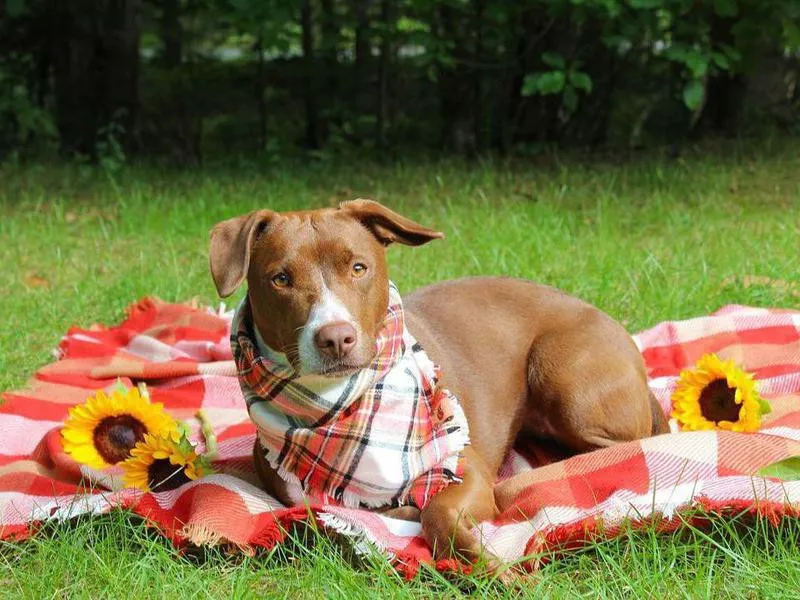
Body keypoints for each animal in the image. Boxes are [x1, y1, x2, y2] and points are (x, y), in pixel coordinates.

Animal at [208, 199, 668, 568]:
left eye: (358, 267)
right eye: (280, 279)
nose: (336, 337)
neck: (338, 404)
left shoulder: (464, 467)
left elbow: (438, 513)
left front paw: (491, 568)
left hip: (562, 375)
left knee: (625, 447)